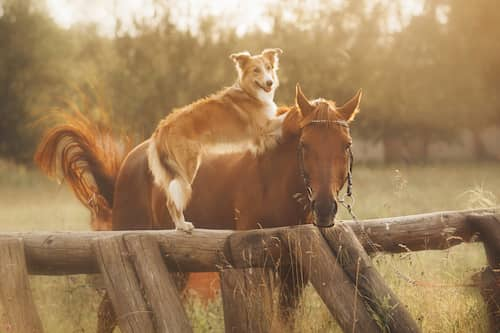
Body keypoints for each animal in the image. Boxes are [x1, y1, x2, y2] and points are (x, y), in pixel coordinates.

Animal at [36, 83, 364, 330]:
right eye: (305, 145)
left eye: (346, 145)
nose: (325, 207)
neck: (272, 177)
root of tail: (131, 161)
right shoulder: (255, 266)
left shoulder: (294, 272)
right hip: (123, 246)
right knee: (107, 312)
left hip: (175, 266)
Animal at [146, 48, 284, 231]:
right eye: (256, 70)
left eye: (269, 68)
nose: (269, 82)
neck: (250, 93)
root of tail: (163, 126)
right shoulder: (263, 129)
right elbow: (286, 115)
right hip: (187, 168)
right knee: (173, 202)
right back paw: (183, 226)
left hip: (173, 173)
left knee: (171, 199)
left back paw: (179, 226)